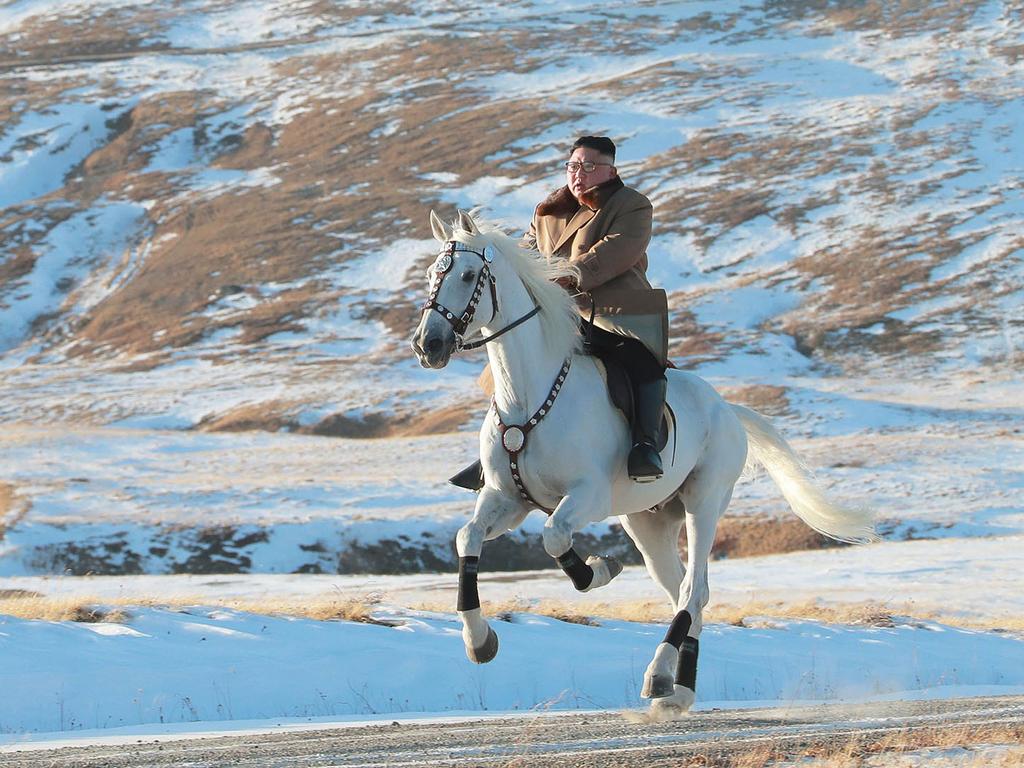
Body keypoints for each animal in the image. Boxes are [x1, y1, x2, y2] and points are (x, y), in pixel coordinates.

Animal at [411, 208, 876, 716]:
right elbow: (467, 537)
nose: (428, 344)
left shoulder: (587, 496)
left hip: (703, 502)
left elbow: (555, 537)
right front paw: (479, 641)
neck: (528, 396)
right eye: (432, 275)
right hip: (647, 522)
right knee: (685, 595)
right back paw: (678, 689)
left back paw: (658, 676)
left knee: (693, 590)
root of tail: (727, 408)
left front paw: (599, 570)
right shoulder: (507, 499)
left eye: (468, 275)